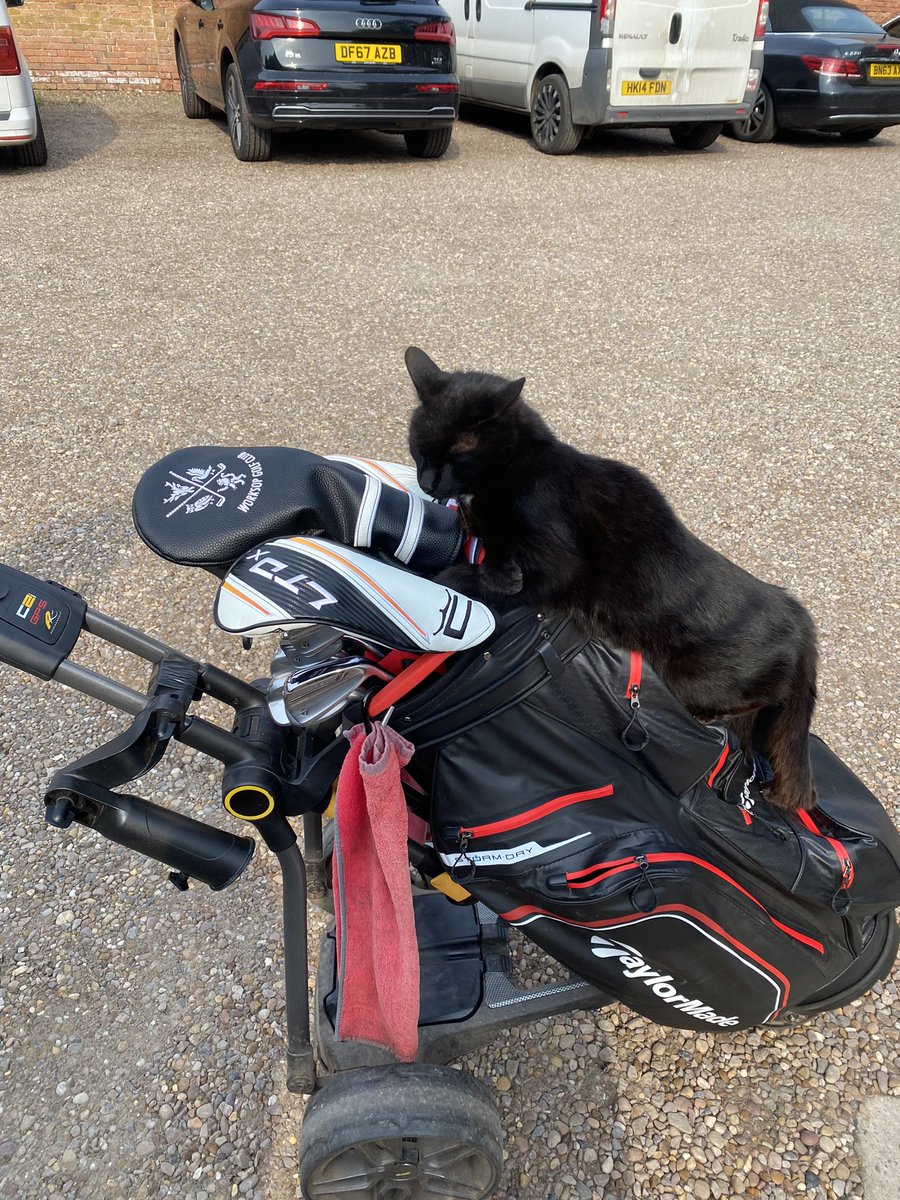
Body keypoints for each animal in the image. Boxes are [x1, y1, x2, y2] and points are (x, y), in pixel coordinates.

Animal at [405, 348, 820, 816]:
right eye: (419, 452)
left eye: (456, 458)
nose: (427, 482)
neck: (521, 468)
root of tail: (797, 617)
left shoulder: (558, 562)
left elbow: (495, 573)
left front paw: (461, 575)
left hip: (698, 676)